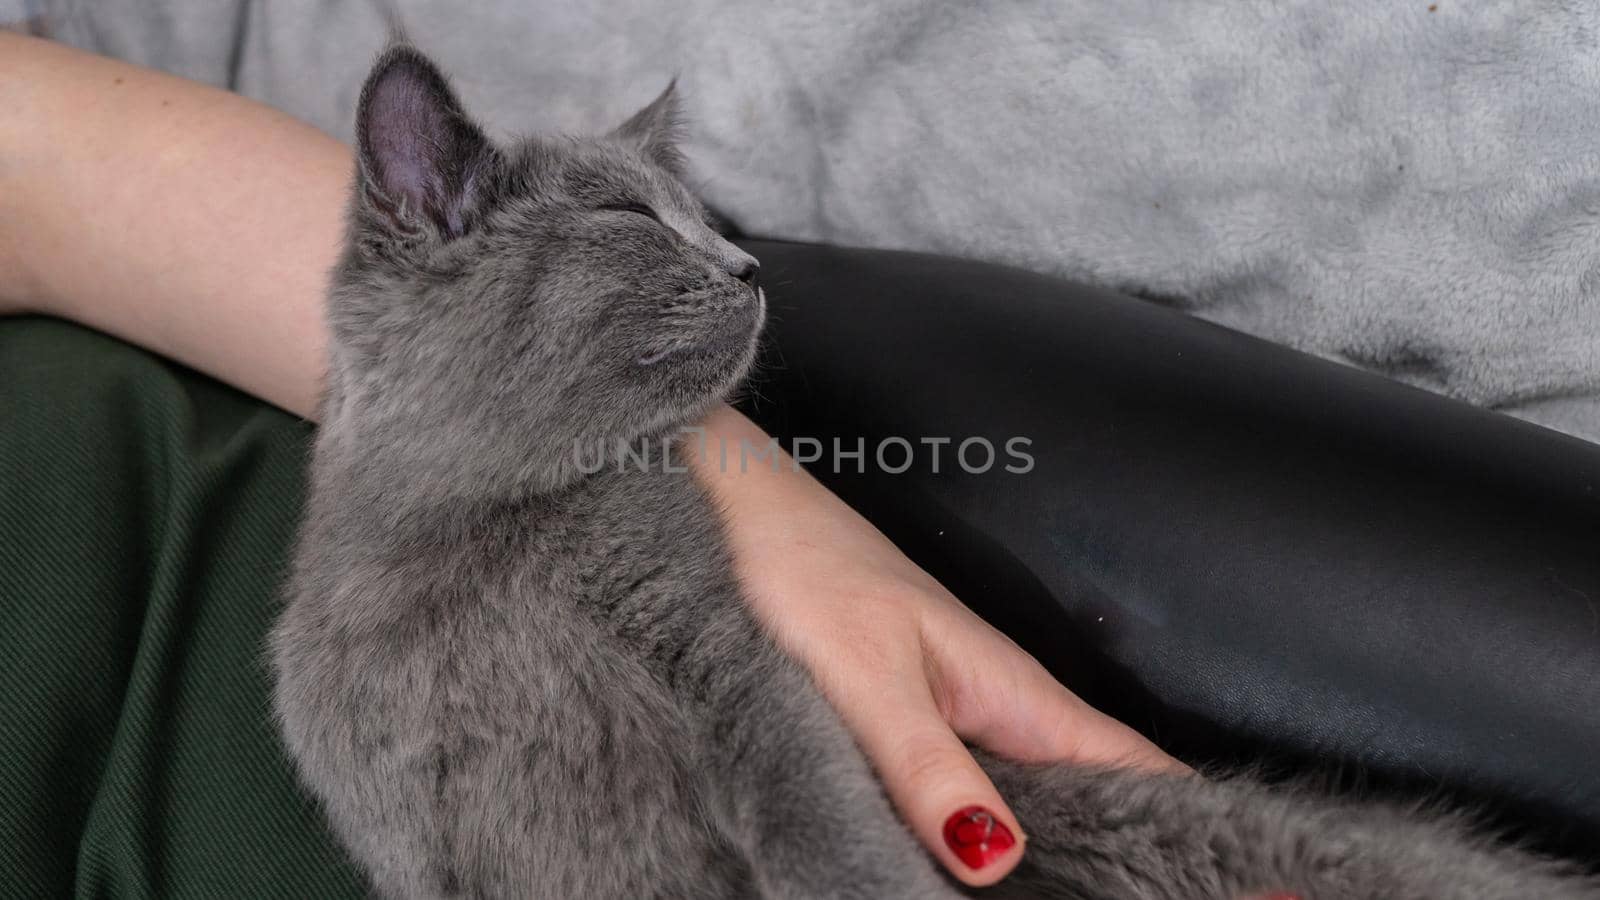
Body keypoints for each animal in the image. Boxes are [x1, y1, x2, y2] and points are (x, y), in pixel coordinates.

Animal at [275, 47, 1600, 896]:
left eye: (703, 216)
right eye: (634, 221)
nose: (750, 263)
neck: (467, 531)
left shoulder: (723, 654)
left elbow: (821, 814)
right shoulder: (410, 838)